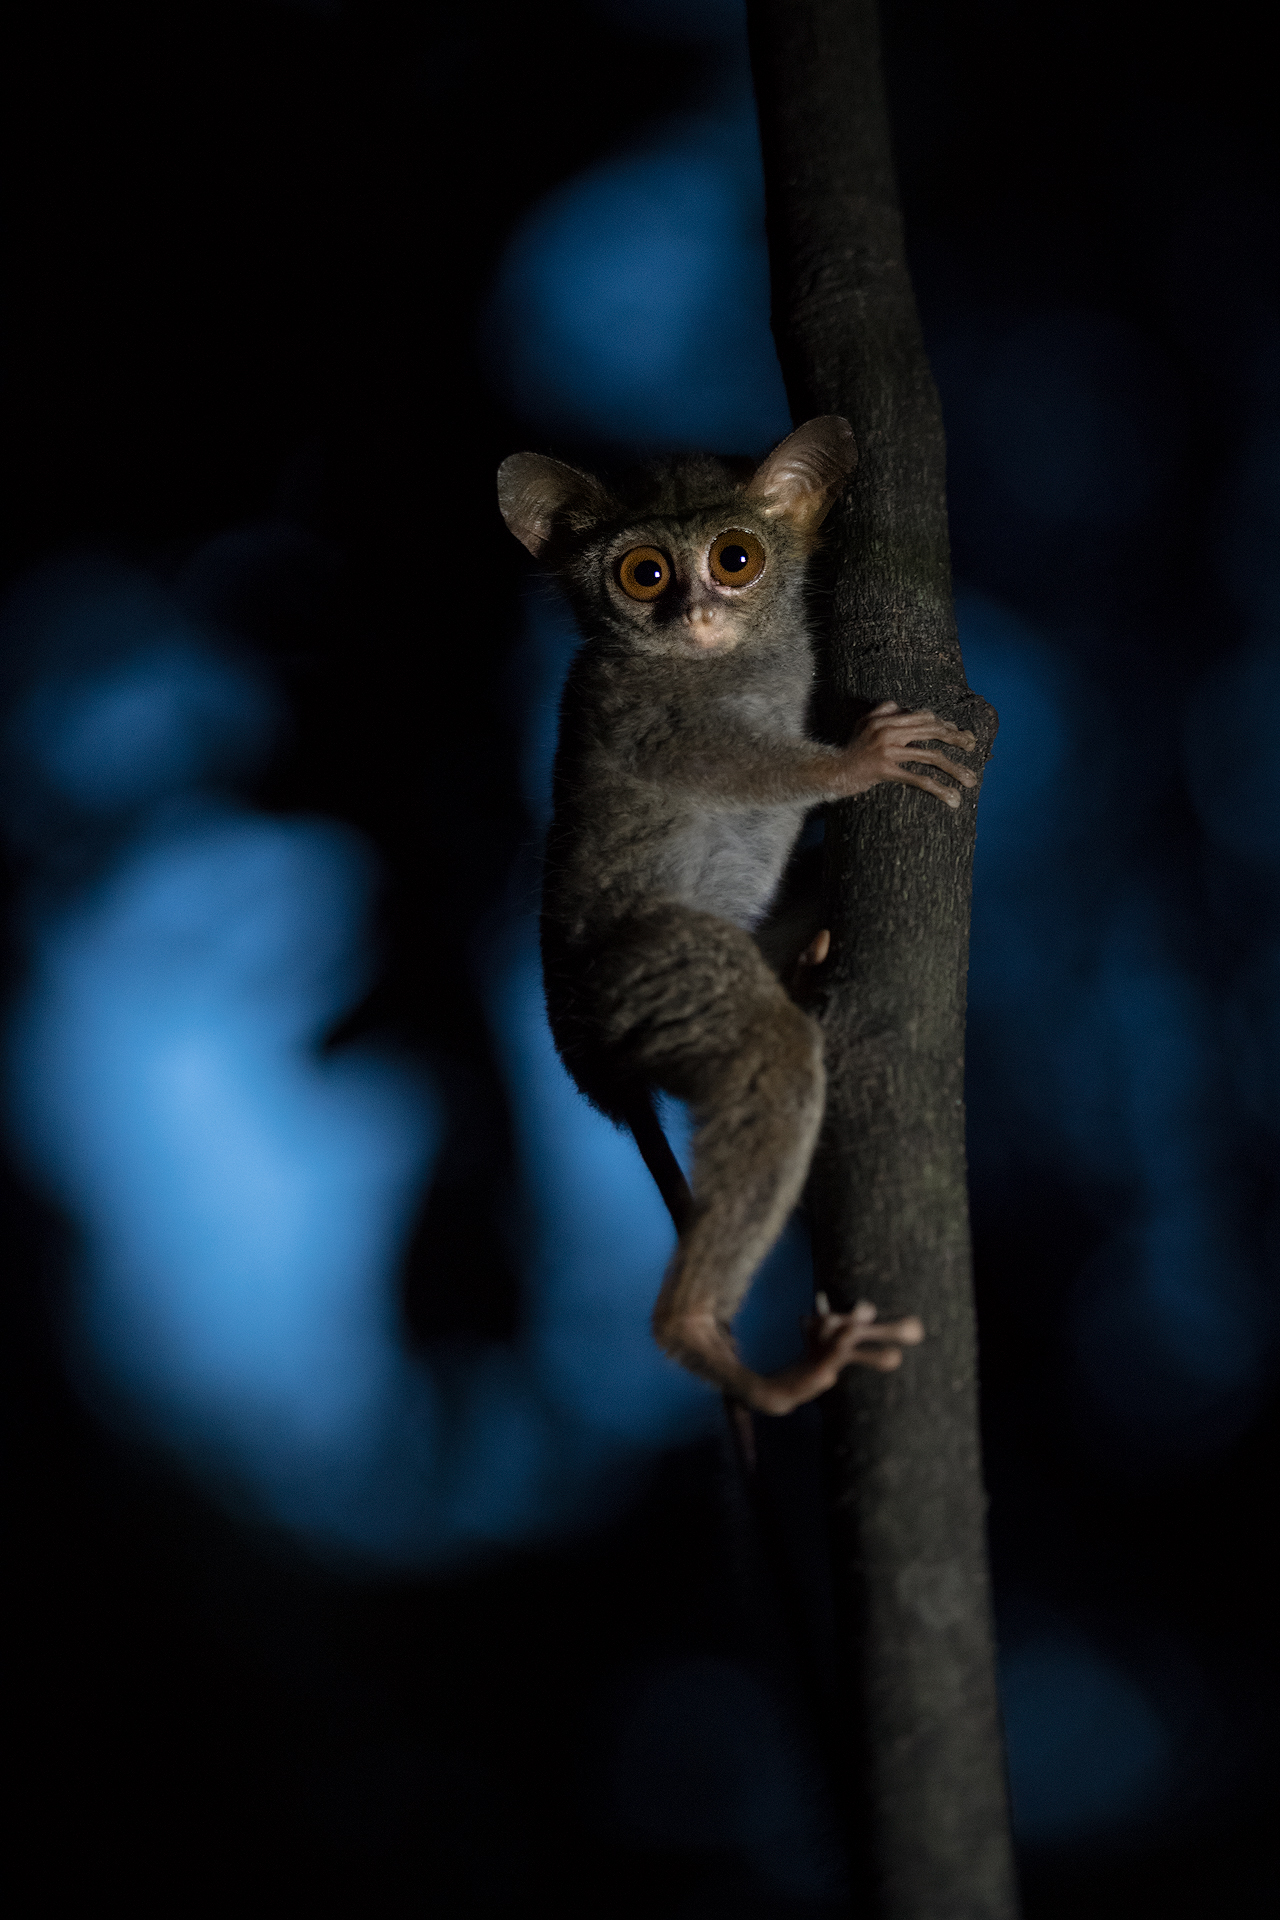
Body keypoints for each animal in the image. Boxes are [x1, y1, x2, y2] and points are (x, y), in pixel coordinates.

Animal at [497, 416, 977, 1416]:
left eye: (736, 559)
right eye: (644, 573)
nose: (695, 613)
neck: (720, 662)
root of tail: (591, 1073)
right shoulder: (637, 713)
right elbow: (729, 764)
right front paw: (863, 761)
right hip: (647, 974)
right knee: (773, 1051)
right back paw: (712, 1343)